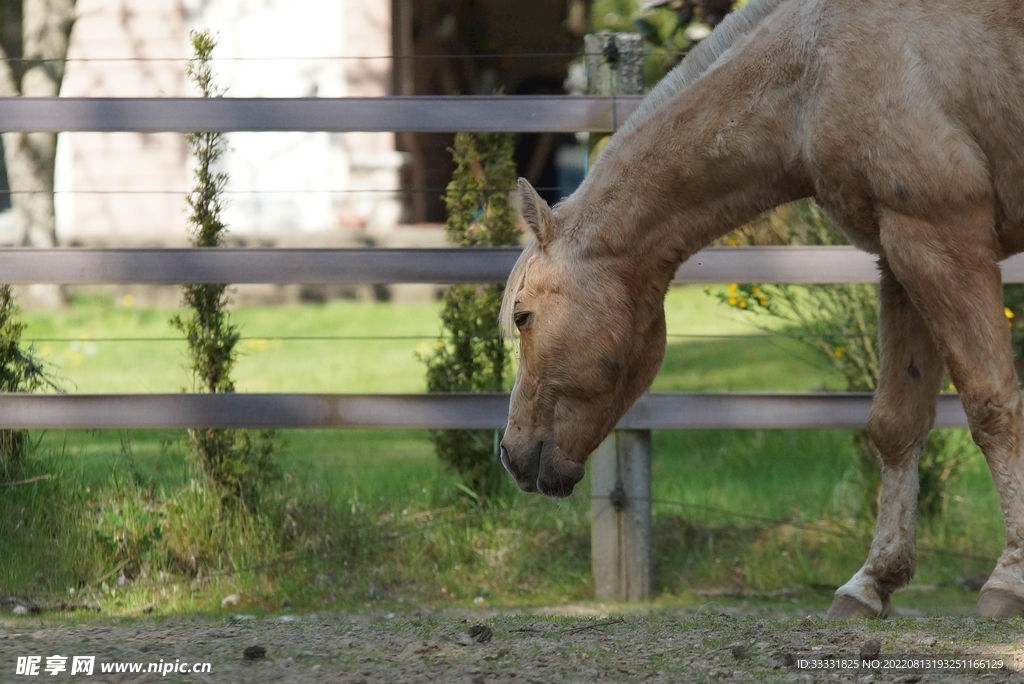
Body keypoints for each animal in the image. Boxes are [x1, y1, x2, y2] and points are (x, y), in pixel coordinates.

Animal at [498, 0, 1024, 619]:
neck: (818, 67)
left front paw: (1009, 580)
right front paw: (871, 582)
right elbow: (897, 423)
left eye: (523, 316)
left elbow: (992, 408)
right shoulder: (900, 258)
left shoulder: (942, 242)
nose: (510, 454)